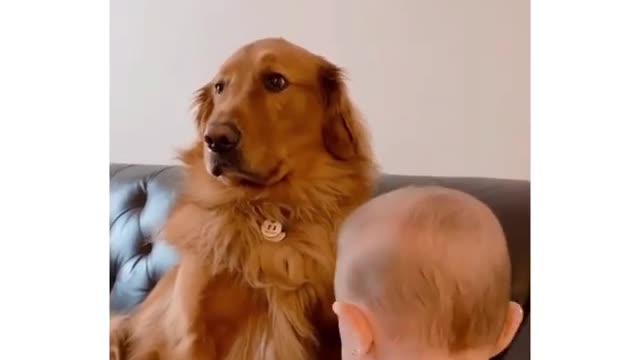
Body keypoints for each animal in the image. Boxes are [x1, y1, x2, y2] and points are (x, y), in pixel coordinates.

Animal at [110, 37, 378, 360]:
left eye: (275, 81)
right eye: (220, 87)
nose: (215, 139)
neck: (270, 210)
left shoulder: (334, 332)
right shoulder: (195, 332)